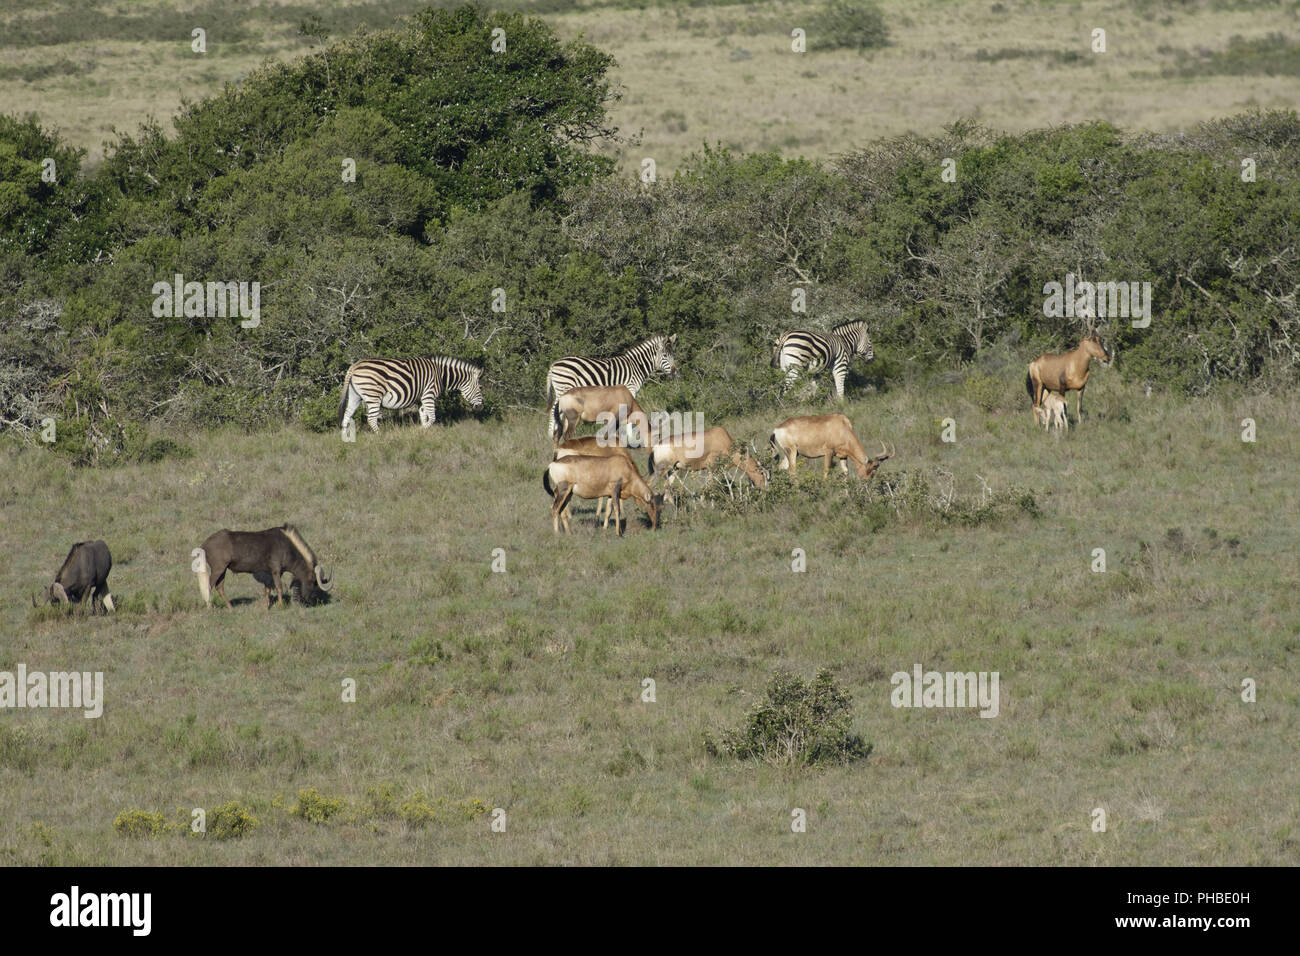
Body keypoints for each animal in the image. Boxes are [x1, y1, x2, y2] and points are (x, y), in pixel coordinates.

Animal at [340, 356, 488, 437]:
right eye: (480, 388)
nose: (481, 408)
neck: (441, 375)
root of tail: (355, 365)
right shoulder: (429, 394)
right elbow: (432, 417)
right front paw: (421, 430)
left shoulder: (423, 398)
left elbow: (424, 415)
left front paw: (423, 433)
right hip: (373, 396)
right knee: (371, 419)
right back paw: (381, 436)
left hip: (355, 395)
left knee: (347, 415)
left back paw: (344, 439)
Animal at [543, 335, 681, 442]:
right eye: (665, 355)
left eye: (673, 355)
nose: (675, 373)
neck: (636, 366)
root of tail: (553, 365)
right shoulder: (630, 389)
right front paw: (628, 437)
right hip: (563, 387)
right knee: (554, 410)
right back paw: (551, 435)